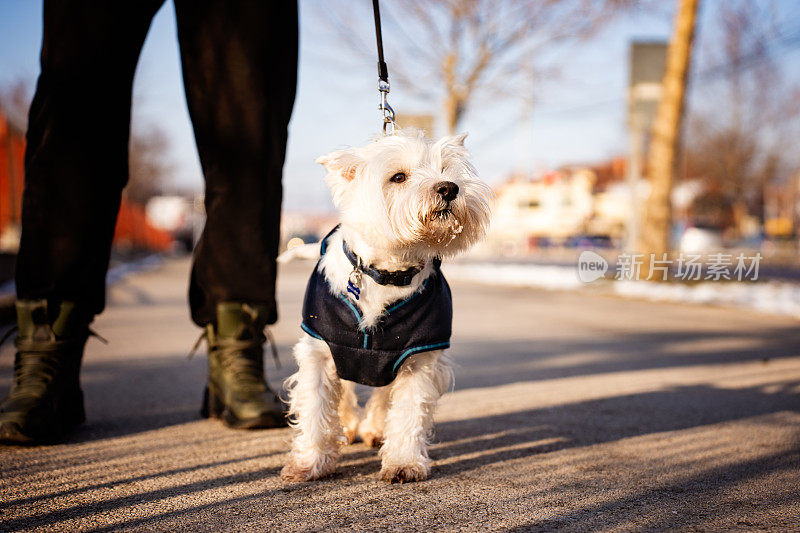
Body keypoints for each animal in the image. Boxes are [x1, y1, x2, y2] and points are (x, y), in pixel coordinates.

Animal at [282, 129, 494, 482]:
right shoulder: (320, 352)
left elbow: (408, 411)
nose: (449, 188)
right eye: (398, 177)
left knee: (383, 398)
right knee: (345, 395)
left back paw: (374, 430)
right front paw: (309, 464)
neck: (388, 273)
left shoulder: (418, 358)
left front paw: (403, 463)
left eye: (446, 170)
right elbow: (316, 408)